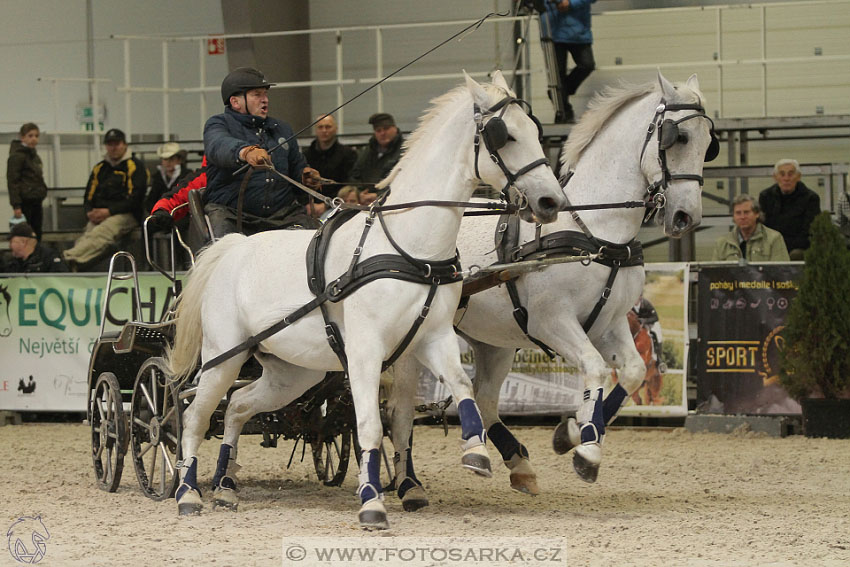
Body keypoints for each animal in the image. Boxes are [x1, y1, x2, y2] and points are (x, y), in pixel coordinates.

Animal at [165, 73, 564, 532]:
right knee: (193, 417)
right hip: (223, 356)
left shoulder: (433, 337)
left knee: (237, 408)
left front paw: (476, 454)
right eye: (506, 136)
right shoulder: (364, 351)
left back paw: (226, 485)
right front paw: (372, 502)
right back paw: (187, 493)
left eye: (535, 130)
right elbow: (371, 425)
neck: (408, 247)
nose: (551, 202)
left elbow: (459, 388)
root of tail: (229, 248)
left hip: (292, 372)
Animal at [390, 71, 716, 506]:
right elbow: (595, 367)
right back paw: (409, 483)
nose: (685, 216)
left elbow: (630, 372)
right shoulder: (552, 322)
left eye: (708, 143)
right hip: (412, 342)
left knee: (486, 400)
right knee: (401, 411)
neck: (594, 231)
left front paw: (575, 432)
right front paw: (587, 450)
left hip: (493, 342)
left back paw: (519, 464)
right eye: (677, 138)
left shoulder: (611, 322)